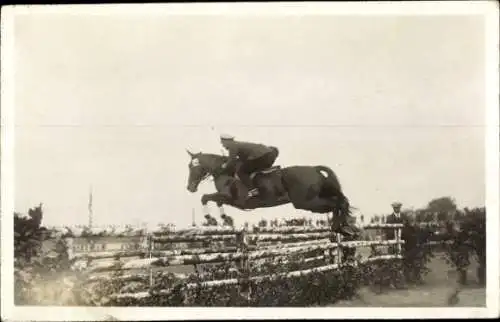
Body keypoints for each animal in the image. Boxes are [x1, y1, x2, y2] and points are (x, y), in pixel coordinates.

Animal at [186, 149, 358, 236]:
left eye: (193, 166)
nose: (190, 188)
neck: (225, 171)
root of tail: (314, 169)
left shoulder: (234, 199)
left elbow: (205, 198)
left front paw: (211, 219)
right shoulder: (228, 199)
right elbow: (216, 201)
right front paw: (224, 219)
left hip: (307, 202)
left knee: (336, 203)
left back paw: (338, 228)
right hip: (316, 197)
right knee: (340, 202)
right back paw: (345, 228)